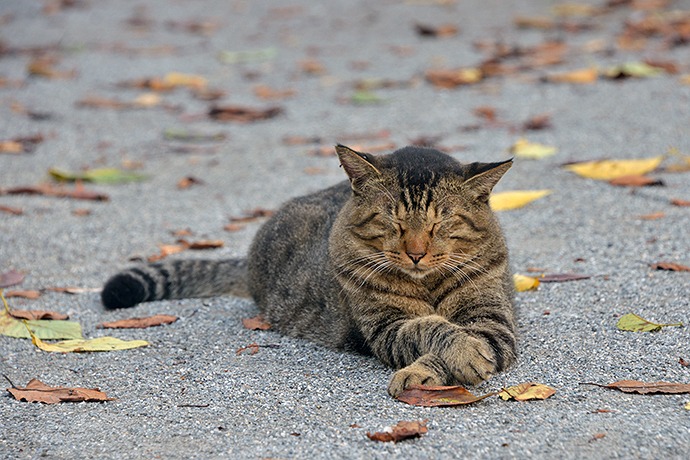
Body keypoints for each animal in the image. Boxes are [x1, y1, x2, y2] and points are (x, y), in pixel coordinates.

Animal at [99, 146, 512, 398]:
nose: (415, 254)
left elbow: (468, 338)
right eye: (391, 221)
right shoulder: (385, 327)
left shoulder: (494, 322)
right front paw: (453, 356)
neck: (425, 284)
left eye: (440, 223)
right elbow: (428, 327)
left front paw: (428, 371)